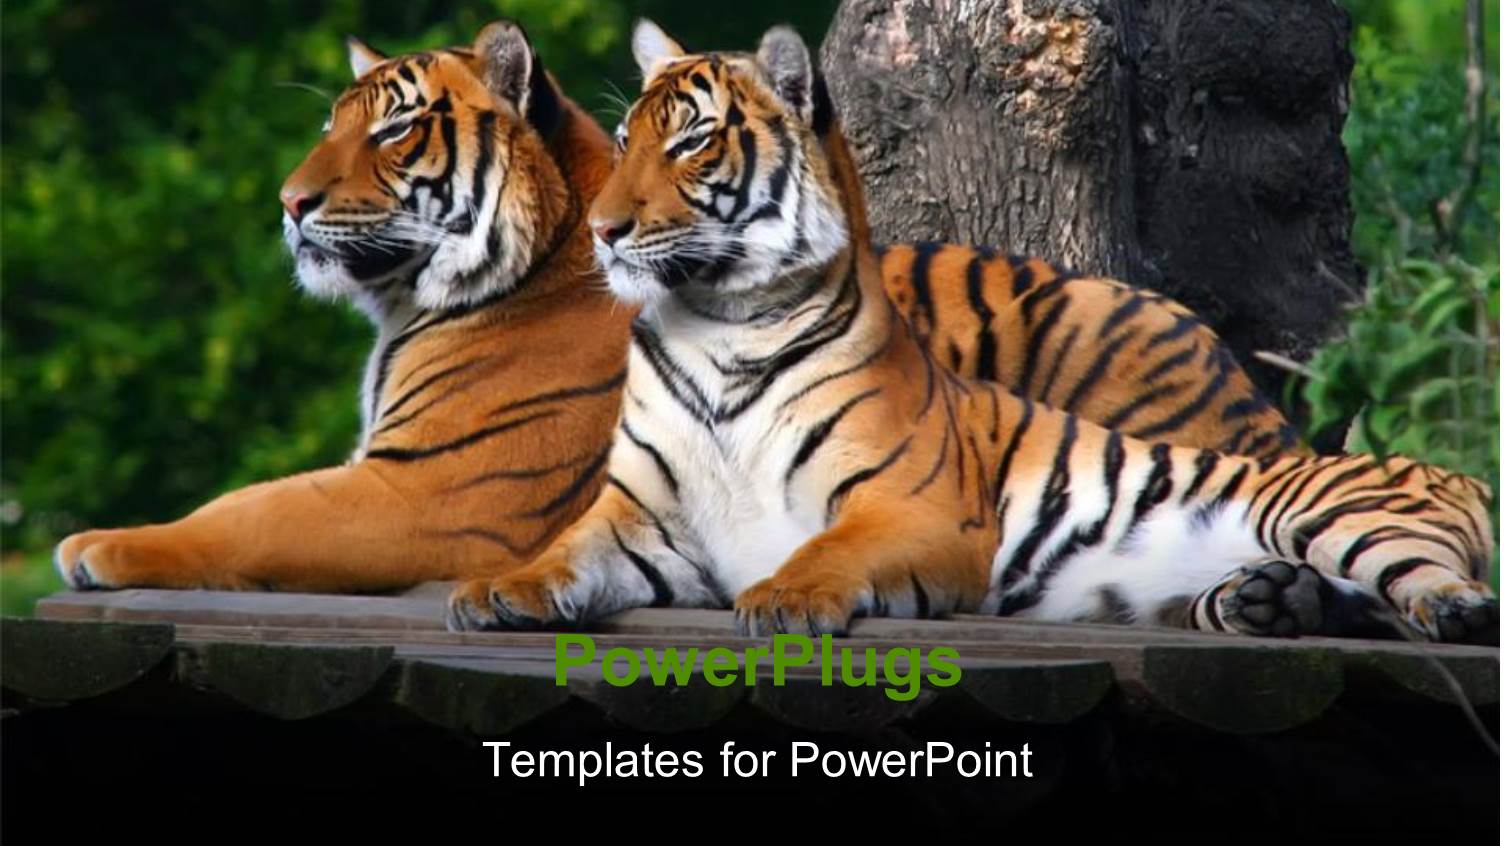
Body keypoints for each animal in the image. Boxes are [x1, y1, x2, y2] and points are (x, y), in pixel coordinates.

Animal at [53, 21, 633, 592]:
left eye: (395, 130)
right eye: (328, 127)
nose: (289, 202)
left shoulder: (435, 492)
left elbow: (256, 516)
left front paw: (103, 546)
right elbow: (240, 498)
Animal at [445, 20, 1498, 645]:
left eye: (694, 142)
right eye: (627, 142)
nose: (604, 229)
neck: (721, 328)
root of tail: (1456, 473)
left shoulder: (913, 510)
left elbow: (824, 553)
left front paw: (783, 597)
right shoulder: (641, 517)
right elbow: (561, 553)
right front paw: (498, 589)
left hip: (1345, 515)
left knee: (1431, 585)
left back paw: (1446, 610)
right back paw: (1270, 601)